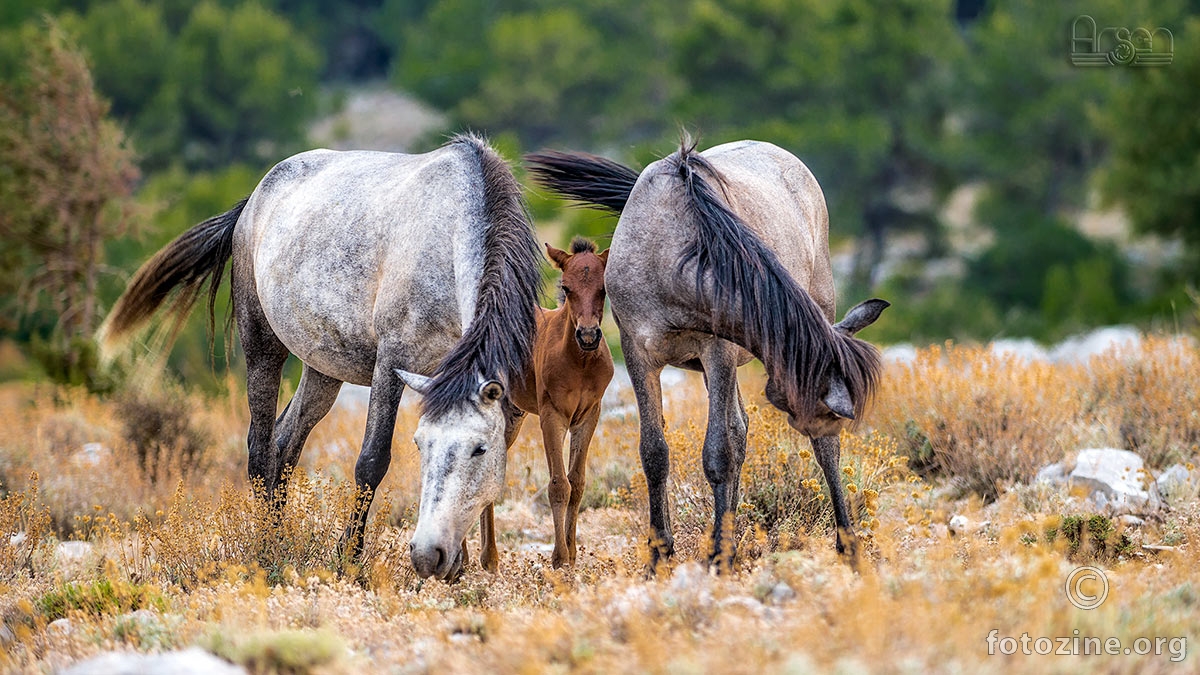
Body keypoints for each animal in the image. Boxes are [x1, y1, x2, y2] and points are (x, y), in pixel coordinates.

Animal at [98, 131, 540, 578]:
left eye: (480, 448)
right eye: (419, 445)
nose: (428, 556)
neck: (447, 238)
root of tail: (253, 200)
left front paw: (466, 562)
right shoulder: (391, 364)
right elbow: (372, 461)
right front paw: (349, 558)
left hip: (322, 370)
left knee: (284, 443)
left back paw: (279, 537)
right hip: (262, 347)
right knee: (260, 449)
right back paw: (267, 548)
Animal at [477, 236, 614, 566]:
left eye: (603, 288)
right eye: (566, 287)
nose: (588, 336)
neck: (580, 362)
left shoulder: (589, 416)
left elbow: (577, 482)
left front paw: (573, 553)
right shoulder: (552, 415)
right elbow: (558, 485)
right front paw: (560, 557)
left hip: (512, 415)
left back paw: (488, 558)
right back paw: (476, 557)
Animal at [530, 139, 888, 569]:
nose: (829, 425)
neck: (665, 253)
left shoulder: (718, 352)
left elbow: (719, 452)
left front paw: (719, 554)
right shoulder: (639, 354)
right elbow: (655, 452)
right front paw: (660, 553)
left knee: (800, 449)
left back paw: (844, 542)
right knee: (744, 430)